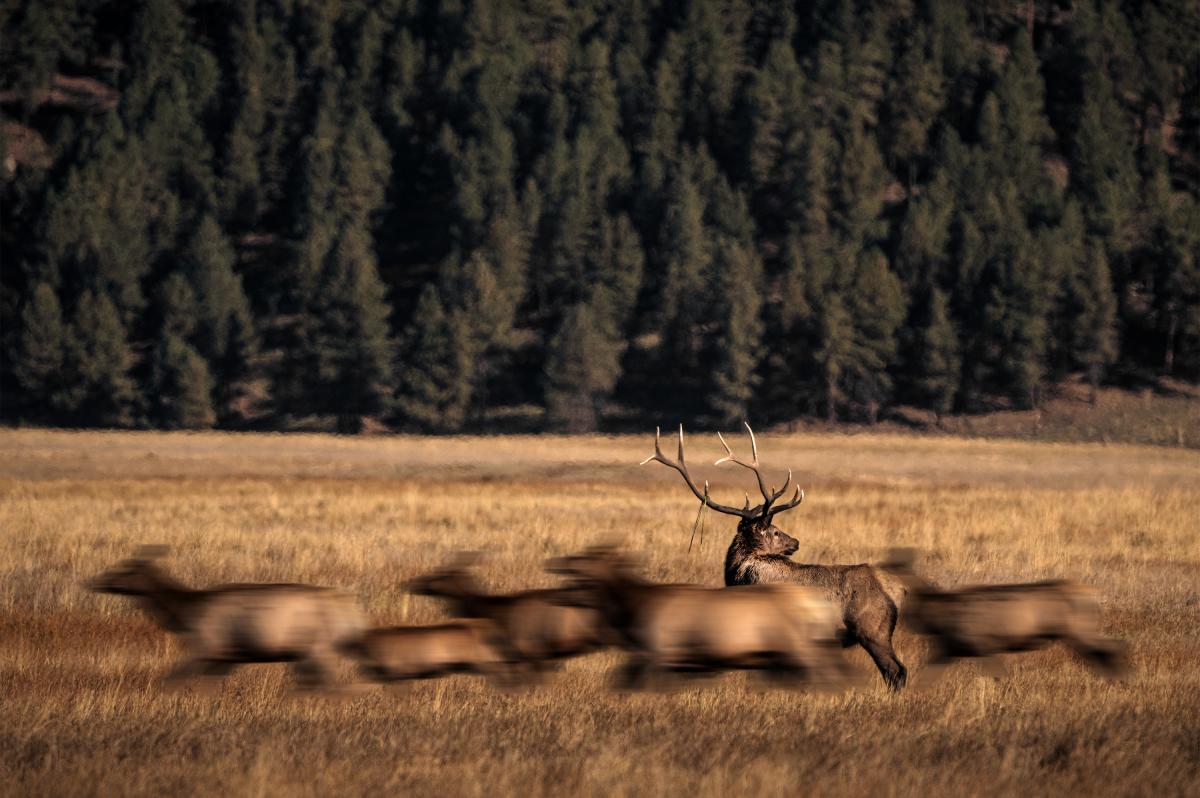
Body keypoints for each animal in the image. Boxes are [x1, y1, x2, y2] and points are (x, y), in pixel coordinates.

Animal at [84, 546, 368, 691]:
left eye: (124, 570)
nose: (93, 581)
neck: (184, 613)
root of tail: (349, 610)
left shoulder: (206, 647)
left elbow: (171, 681)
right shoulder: (226, 658)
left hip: (320, 647)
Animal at [641, 424, 910, 690]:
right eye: (776, 531)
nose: (796, 542)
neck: (742, 575)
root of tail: (898, 589)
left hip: (872, 631)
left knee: (896, 670)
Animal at [882, 549, 1127, 680]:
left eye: (908, 603)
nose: (906, 621)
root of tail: (1093, 593)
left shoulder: (981, 645)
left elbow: (1001, 675)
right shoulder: (950, 650)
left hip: (1079, 628)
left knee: (1110, 648)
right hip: (1077, 632)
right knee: (1102, 652)